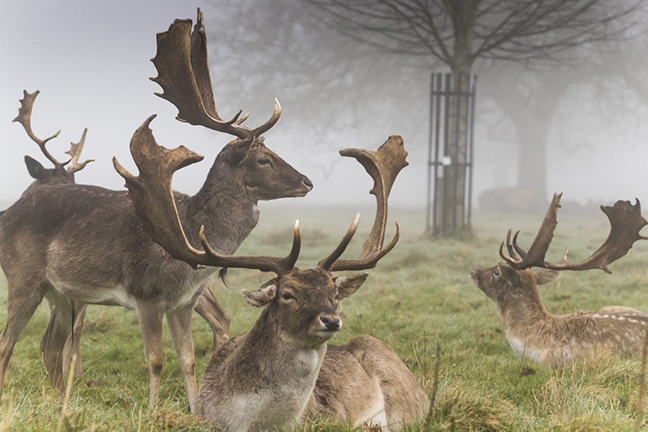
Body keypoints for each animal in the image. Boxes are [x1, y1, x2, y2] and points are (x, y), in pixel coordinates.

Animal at [0, 9, 312, 412]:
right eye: (263, 159)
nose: (307, 181)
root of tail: (7, 213)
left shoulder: (183, 302)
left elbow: (188, 359)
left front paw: (195, 411)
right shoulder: (146, 294)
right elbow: (156, 359)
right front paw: (150, 412)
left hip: (61, 292)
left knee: (50, 346)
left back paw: (61, 405)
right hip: (23, 278)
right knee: (8, 343)